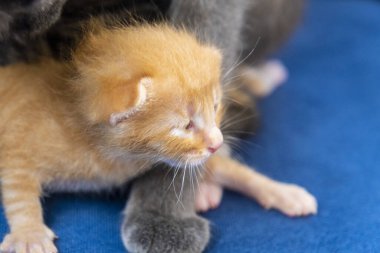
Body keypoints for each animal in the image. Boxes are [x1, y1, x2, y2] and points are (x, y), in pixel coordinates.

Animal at [0, 22, 223, 252]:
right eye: (186, 126)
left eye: (215, 107)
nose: (218, 143)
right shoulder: (16, 146)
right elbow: (18, 193)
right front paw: (29, 234)